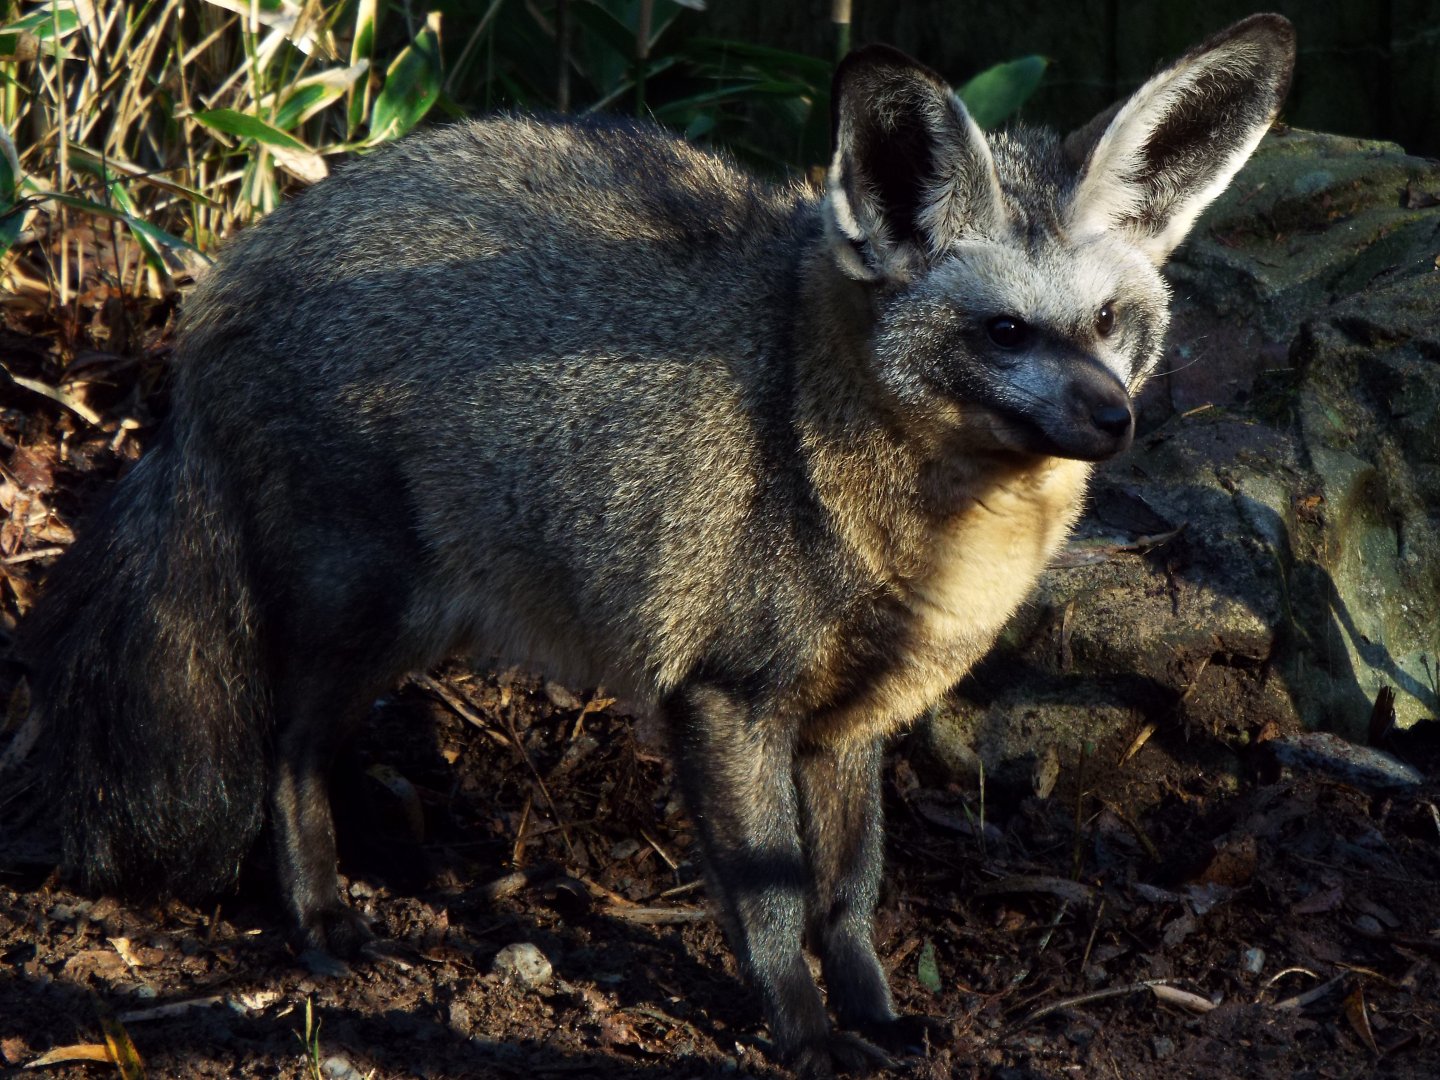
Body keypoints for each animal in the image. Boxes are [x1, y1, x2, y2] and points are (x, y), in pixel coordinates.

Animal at [23, 14, 1294, 1077]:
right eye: (1004, 332)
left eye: (1109, 325)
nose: (1112, 419)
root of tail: (230, 269)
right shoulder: (722, 700)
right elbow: (771, 900)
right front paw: (802, 1034)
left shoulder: (850, 723)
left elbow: (851, 894)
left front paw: (875, 1017)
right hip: (368, 615)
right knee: (284, 754)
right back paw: (323, 921)